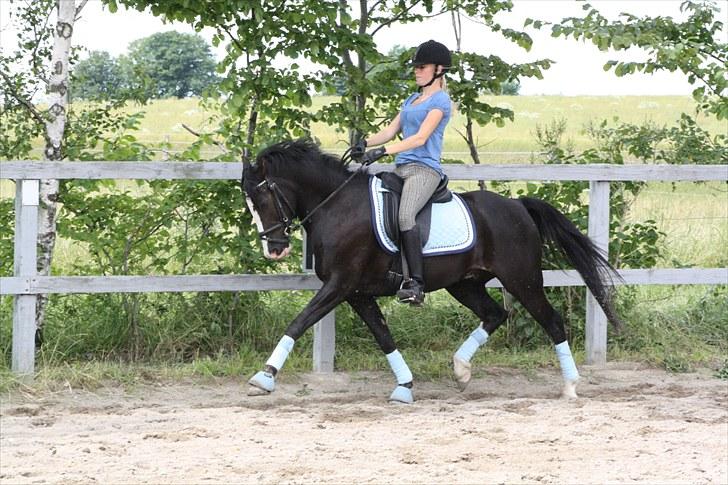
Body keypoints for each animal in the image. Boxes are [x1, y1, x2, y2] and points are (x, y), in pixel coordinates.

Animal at [241, 139, 621, 403]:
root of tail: (517, 205)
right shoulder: (357, 293)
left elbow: (299, 322)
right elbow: (384, 336)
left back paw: (570, 387)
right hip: (465, 284)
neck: (337, 205)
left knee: (551, 321)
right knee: (495, 314)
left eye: (262, 199)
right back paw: (461, 370)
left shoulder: (339, 285)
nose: (275, 249)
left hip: (522, 279)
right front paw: (405, 386)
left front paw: (264, 377)